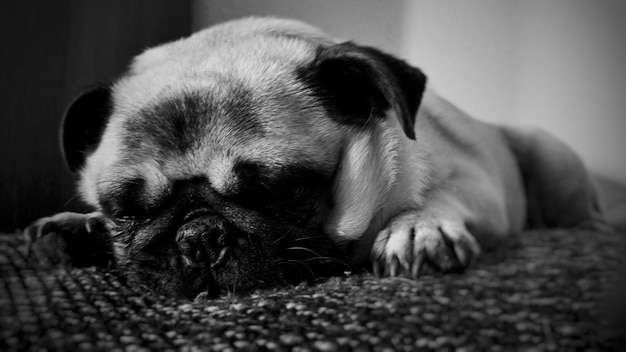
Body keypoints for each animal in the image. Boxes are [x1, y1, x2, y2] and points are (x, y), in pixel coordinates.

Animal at [24, 17, 604, 300]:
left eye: (274, 190)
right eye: (126, 211)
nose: (198, 236)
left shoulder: (478, 180)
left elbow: (440, 194)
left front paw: (418, 226)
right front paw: (81, 226)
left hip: (551, 160)